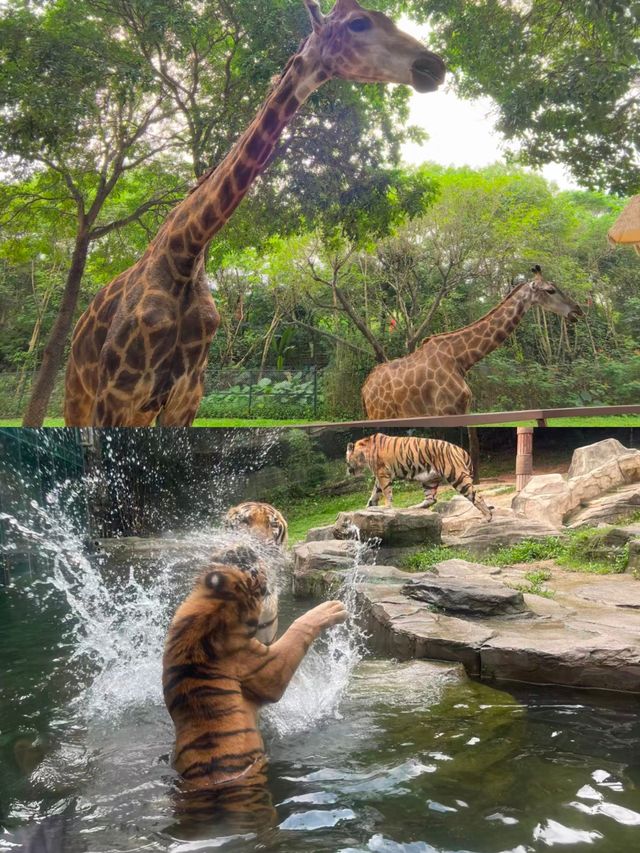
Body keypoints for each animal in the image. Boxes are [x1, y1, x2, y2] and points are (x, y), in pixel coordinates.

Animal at [65, 0, 444, 426]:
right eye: (359, 23)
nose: (433, 65)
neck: (186, 252)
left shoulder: (185, 398)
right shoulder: (115, 395)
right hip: (79, 396)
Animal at [348, 432, 492, 520]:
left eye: (347, 459)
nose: (348, 471)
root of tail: (462, 450)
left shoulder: (382, 473)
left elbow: (386, 491)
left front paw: (386, 507)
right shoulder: (380, 475)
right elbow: (376, 491)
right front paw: (369, 506)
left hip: (457, 476)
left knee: (476, 495)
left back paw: (487, 516)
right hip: (430, 480)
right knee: (431, 500)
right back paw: (413, 508)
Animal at [362, 262, 584, 416]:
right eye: (550, 290)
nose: (577, 310)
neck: (461, 359)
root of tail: (365, 389)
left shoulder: (462, 408)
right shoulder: (448, 410)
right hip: (381, 414)